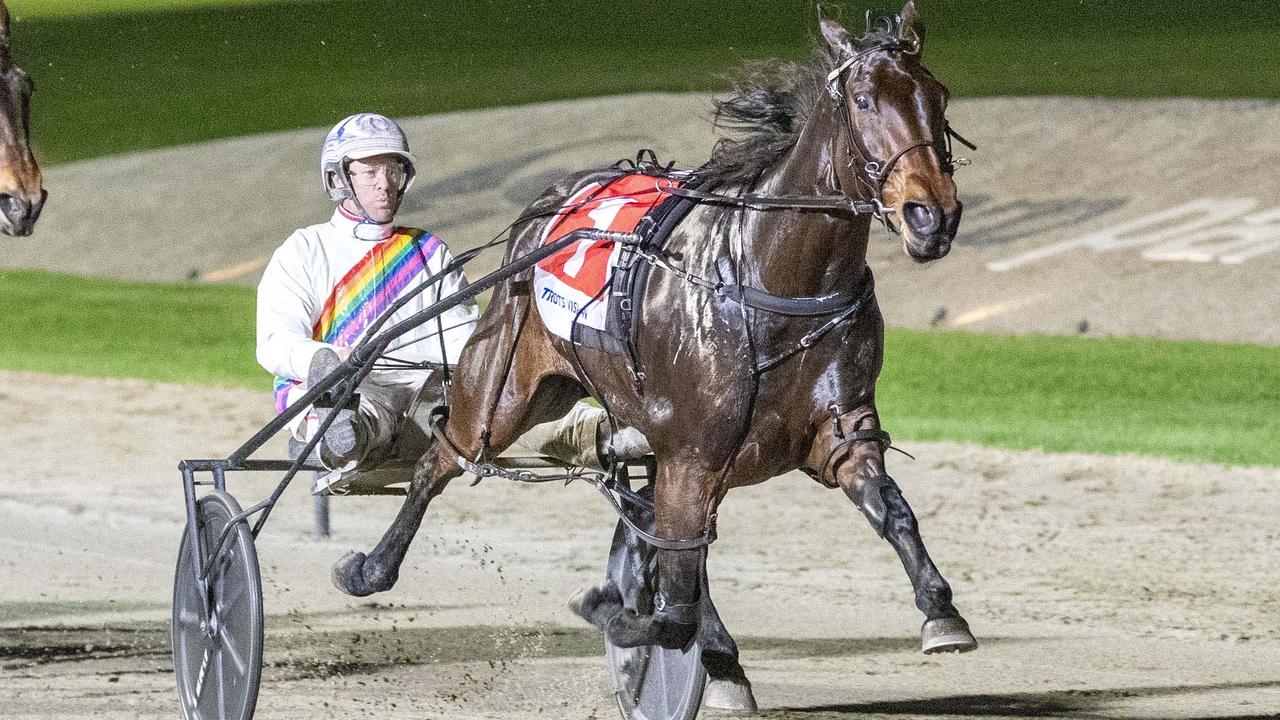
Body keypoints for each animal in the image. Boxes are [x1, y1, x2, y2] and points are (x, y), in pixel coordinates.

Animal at [335, 1, 972, 707]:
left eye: (938, 95)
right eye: (862, 101)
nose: (932, 216)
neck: (773, 280)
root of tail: (554, 200)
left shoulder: (837, 433)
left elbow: (892, 511)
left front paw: (942, 612)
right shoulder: (691, 456)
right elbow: (671, 609)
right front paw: (615, 610)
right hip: (504, 386)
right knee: (443, 456)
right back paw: (369, 569)